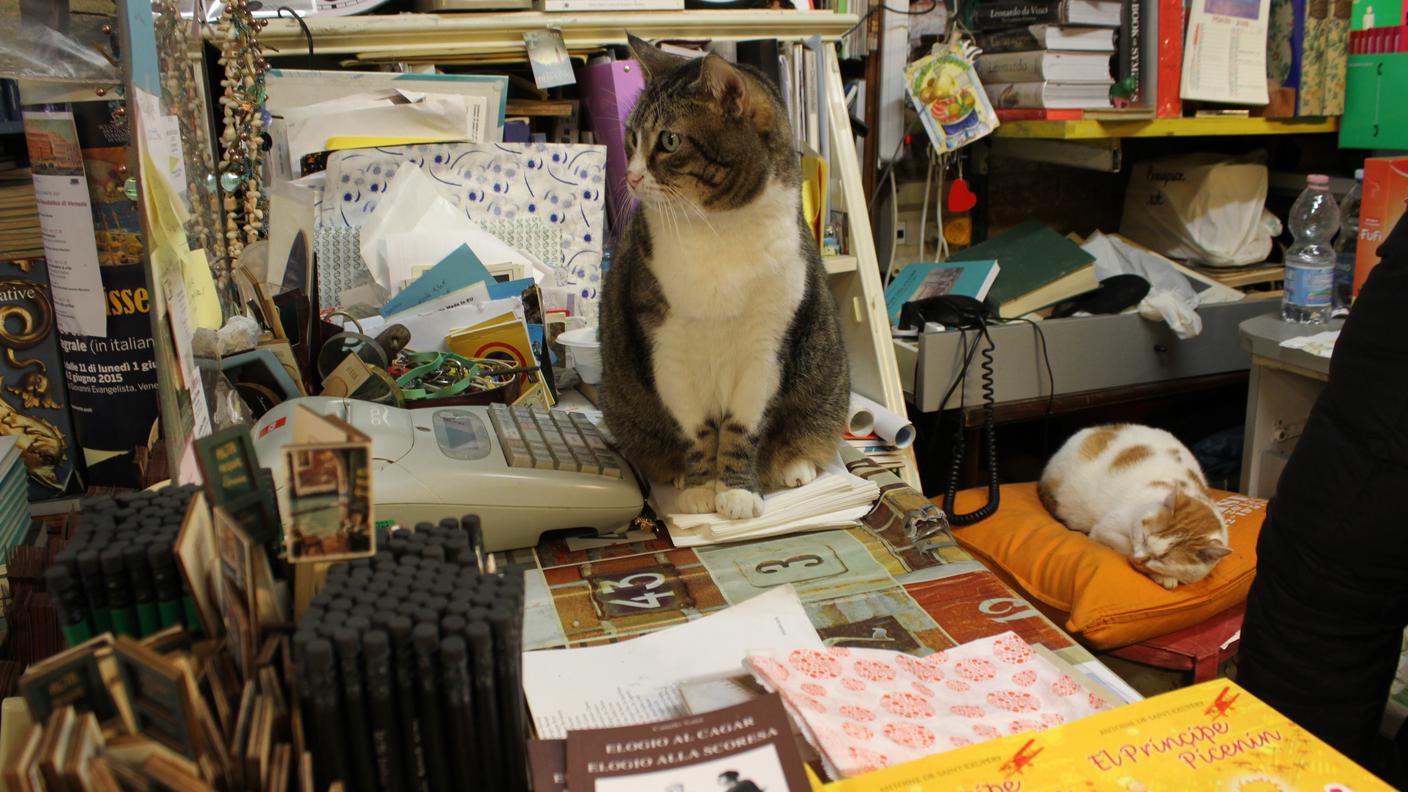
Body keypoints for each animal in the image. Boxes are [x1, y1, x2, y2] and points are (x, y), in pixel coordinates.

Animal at [594, 35, 844, 518]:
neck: (717, 230)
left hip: (825, 382)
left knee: (808, 431)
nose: (630, 176)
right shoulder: (667, 345)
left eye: (669, 140)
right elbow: (696, 431)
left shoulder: (765, 346)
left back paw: (793, 466)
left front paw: (736, 492)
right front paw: (698, 490)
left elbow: (740, 430)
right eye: (631, 137)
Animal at [1036, 425, 1233, 586]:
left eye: (1162, 559)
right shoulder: (1105, 529)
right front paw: (1163, 577)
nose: (1138, 559)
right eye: (1145, 538)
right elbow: (1124, 545)